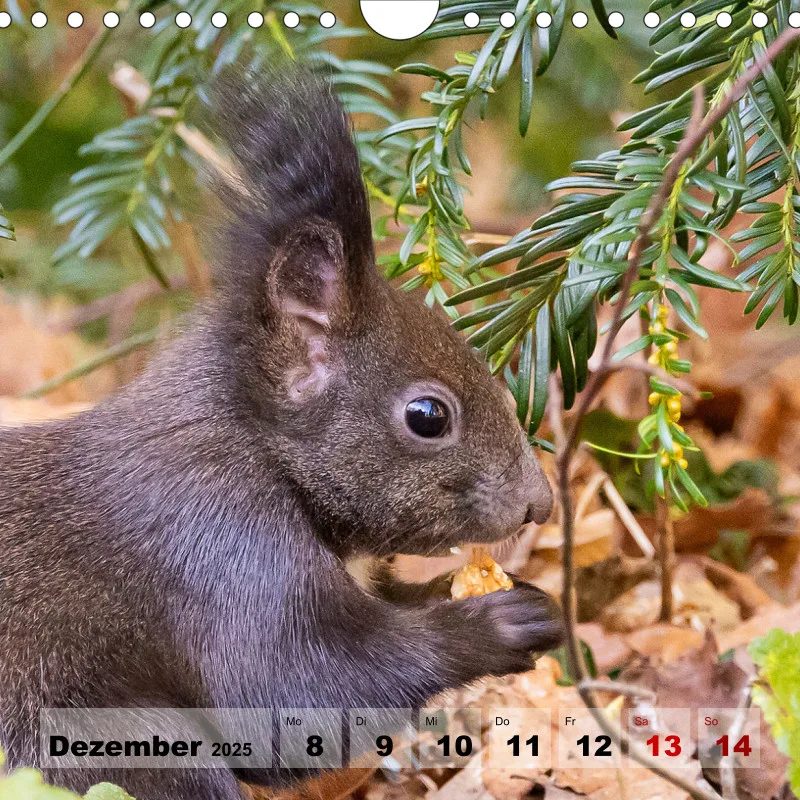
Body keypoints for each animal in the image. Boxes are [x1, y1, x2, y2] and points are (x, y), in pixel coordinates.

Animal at [0, 69, 563, 799]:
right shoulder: (221, 548)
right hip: (116, 745)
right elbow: (287, 698)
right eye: (427, 416)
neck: (256, 442)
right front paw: (494, 625)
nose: (539, 504)